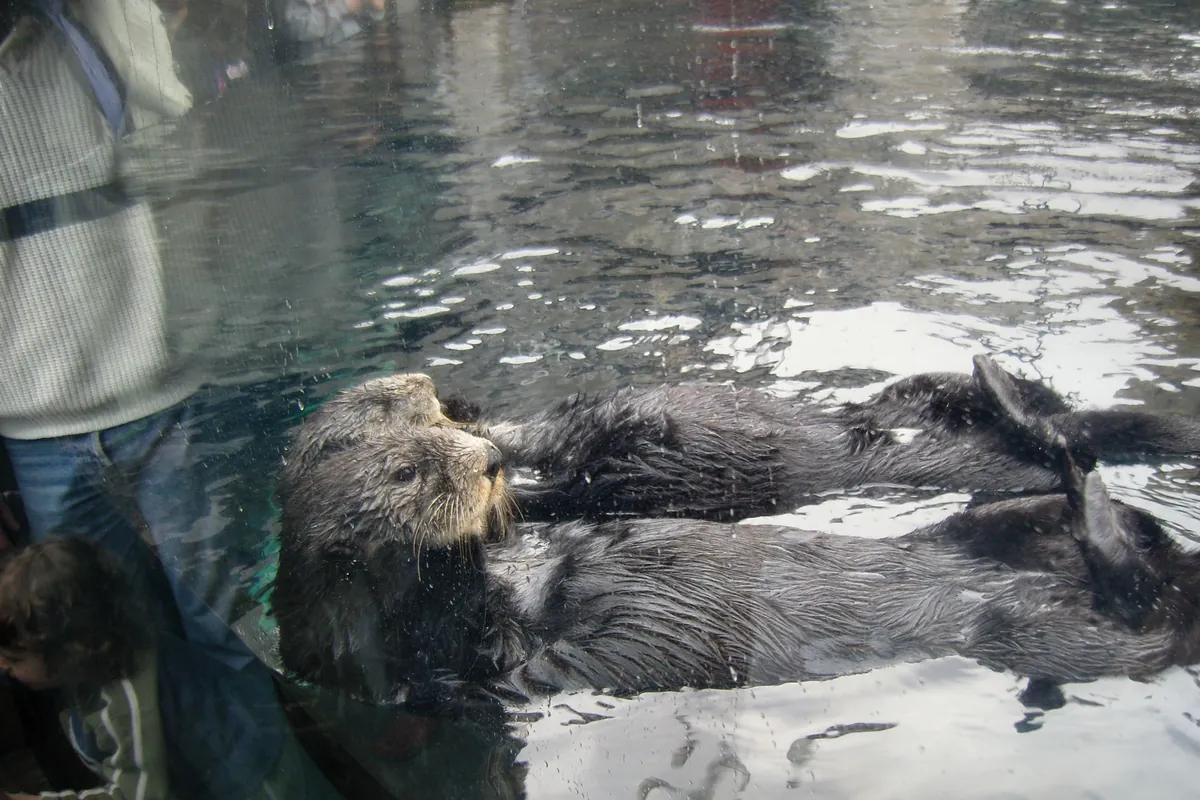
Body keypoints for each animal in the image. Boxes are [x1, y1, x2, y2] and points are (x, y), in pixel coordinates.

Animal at [272, 357, 1200, 704]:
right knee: (1127, 576)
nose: (480, 455)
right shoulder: (461, 661)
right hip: (1057, 632)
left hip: (995, 519)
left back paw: (1002, 389)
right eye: (406, 470)